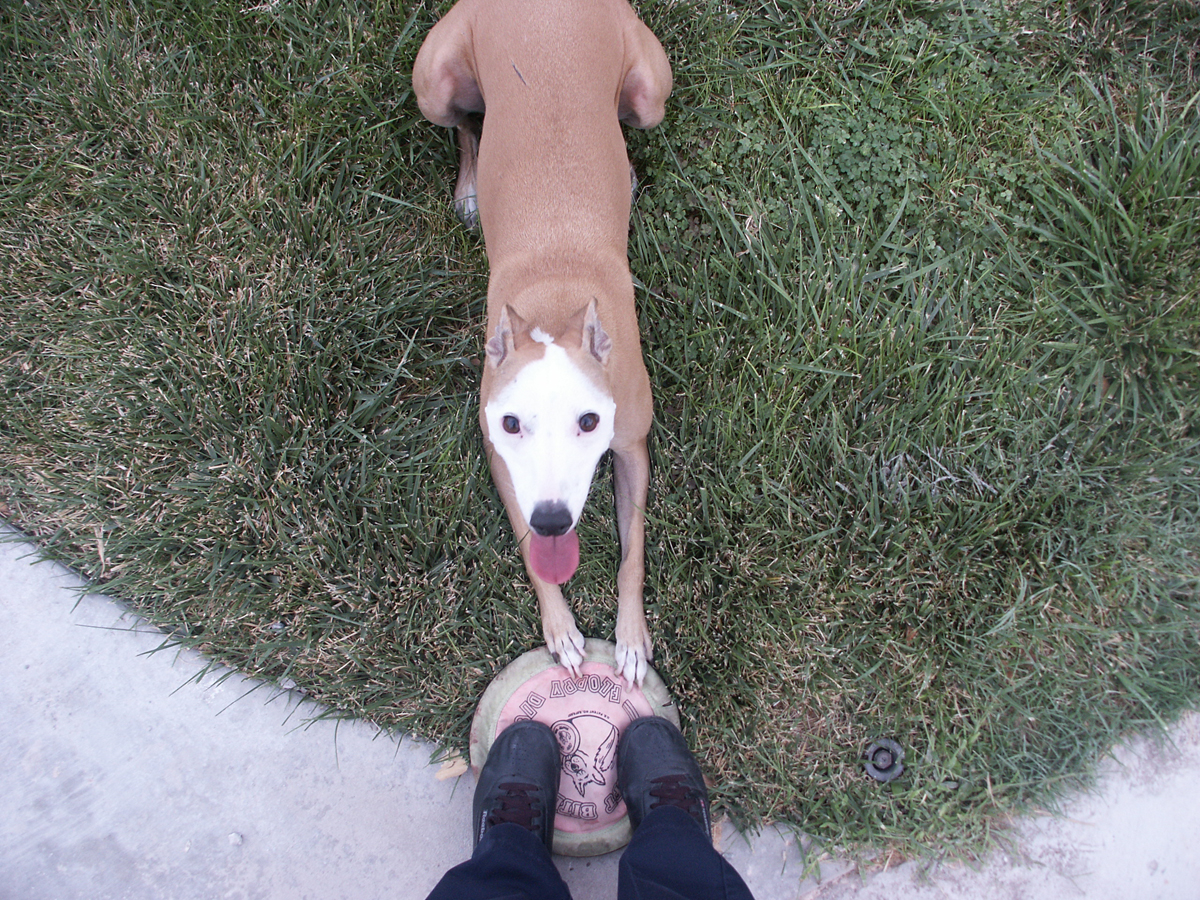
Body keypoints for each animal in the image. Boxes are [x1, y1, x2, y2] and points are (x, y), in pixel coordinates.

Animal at [417, 0, 672, 681]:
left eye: (589, 422)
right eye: (511, 424)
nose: (555, 517)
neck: (556, 311)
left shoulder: (632, 445)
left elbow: (634, 550)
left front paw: (630, 637)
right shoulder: (501, 461)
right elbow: (532, 549)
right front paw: (559, 628)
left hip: (650, 93)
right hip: (435, 83)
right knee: (466, 126)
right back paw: (470, 189)